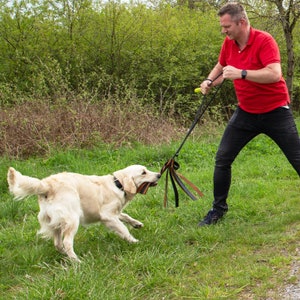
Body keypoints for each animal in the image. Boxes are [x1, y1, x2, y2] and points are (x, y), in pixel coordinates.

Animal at [7, 165, 161, 262]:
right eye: (143, 172)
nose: (159, 174)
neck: (118, 184)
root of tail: (47, 186)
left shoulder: (114, 213)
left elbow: (125, 216)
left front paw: (136, 224)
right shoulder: (108, 216)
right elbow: (123, 229)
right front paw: (134, 241)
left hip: (55, 223)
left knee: (58, 244)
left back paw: (67, 255)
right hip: (72, 220)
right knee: (67, 242)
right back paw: (77, 261)